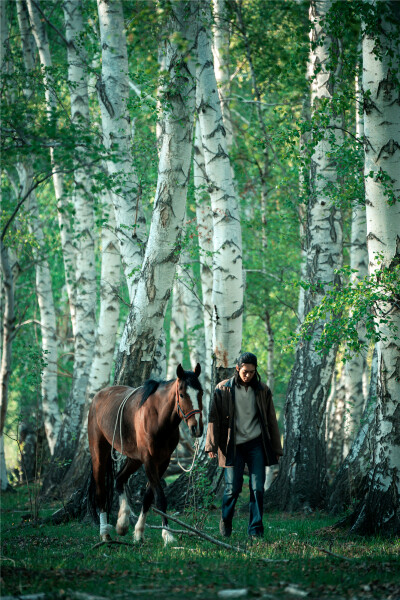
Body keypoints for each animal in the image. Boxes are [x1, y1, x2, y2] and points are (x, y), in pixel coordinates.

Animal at [87, 360, 203, 544]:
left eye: (201, 393)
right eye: (182, 394)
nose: (196, 428)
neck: (159, 419)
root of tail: (98, 396)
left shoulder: (163, 461)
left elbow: (148, 497)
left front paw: (139, 533)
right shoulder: (149, 460)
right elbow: (160, 497)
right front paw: (168, 534)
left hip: (134, 459)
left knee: (119, 479)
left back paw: (122, 522)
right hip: (99, 453)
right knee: (101, 491)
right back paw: (105, 532)